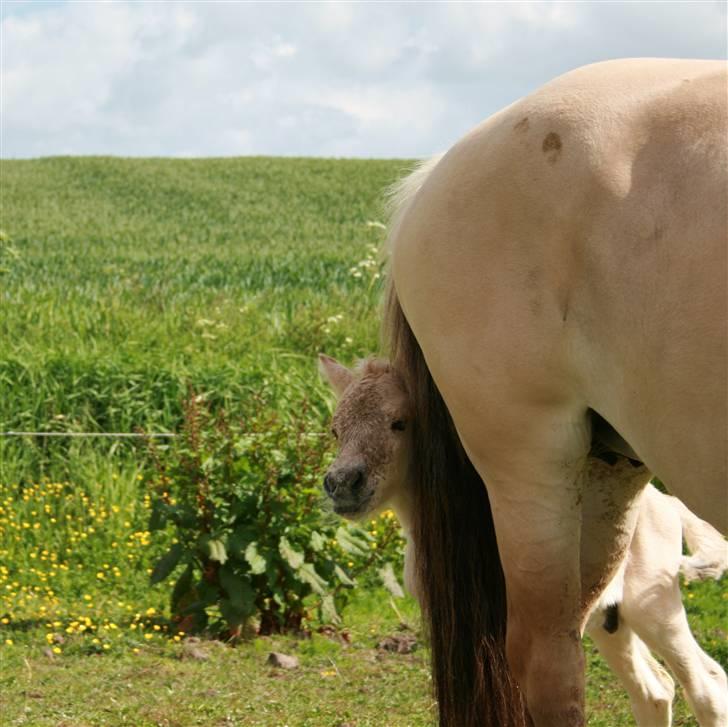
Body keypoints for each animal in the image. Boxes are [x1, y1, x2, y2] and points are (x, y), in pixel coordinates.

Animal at [322, 356, 724, 724]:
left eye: (399, 423)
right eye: (335, 430)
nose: (342, 483)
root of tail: (669, 505)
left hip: (651, 605)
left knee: (707, 683)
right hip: (611, 618)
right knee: (655, 689)